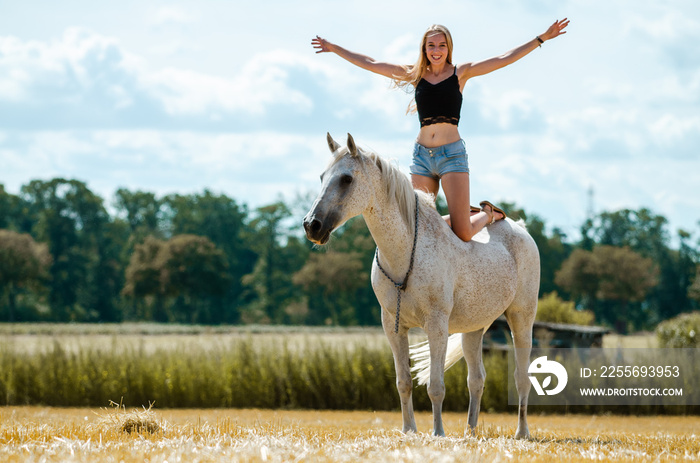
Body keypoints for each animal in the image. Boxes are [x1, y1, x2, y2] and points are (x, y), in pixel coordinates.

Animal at [302, 134, 540, 438]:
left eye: (346, 179)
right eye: (322, 177)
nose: (312, 225)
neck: (405, 254)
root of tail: (521, 229)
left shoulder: (436, 326)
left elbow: (436, 386)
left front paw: (437, 432)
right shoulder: (393, 327)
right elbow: (403, 382)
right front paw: (408, 430)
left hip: (521, 319)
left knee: (521, 377)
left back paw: (522, 433)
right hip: (474, 330)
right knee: (476, 379)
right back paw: (470, 433)